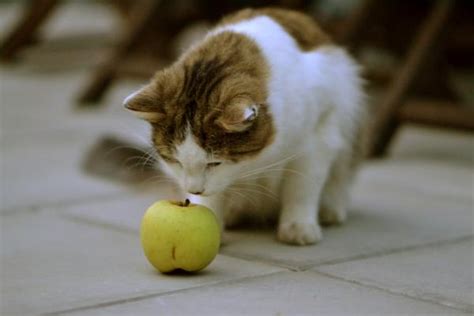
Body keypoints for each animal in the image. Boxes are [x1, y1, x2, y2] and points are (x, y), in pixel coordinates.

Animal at [124, 6, 368, 244]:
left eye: (215, 163)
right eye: (175, 161)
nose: (194, 190)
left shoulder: (318, 136)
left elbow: (302, 187)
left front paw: (298, 227)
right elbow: (213, 198)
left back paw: (330, 210)